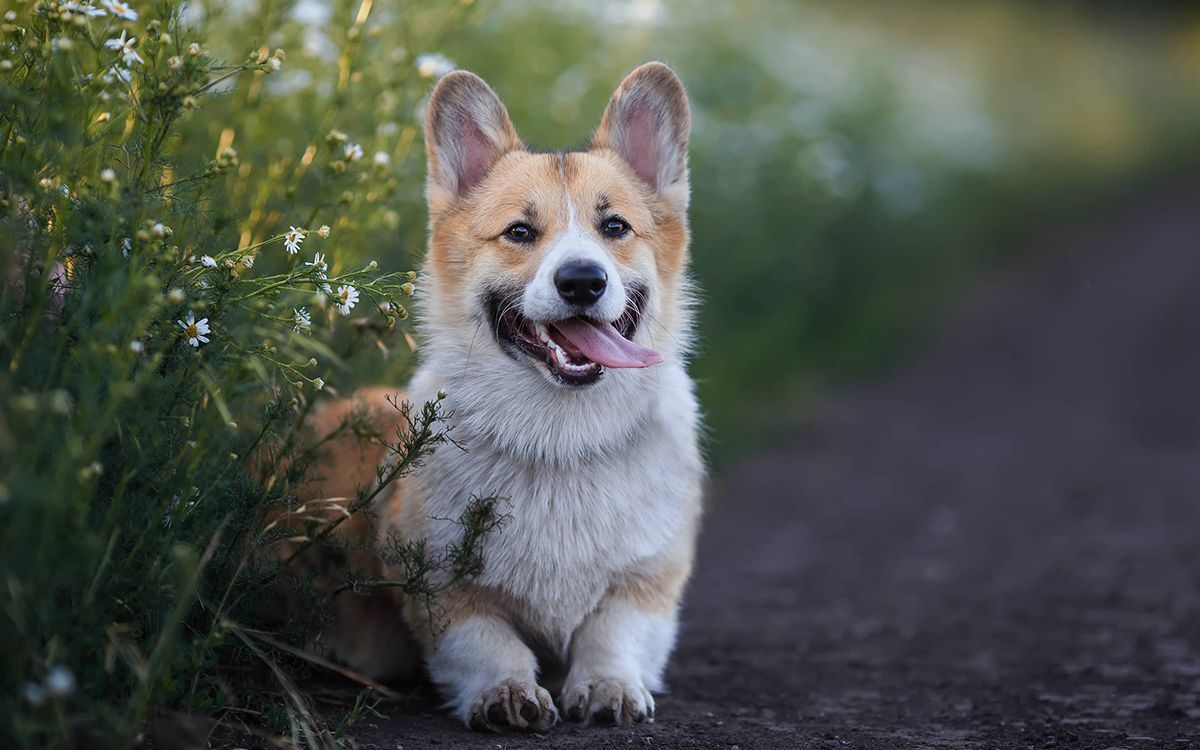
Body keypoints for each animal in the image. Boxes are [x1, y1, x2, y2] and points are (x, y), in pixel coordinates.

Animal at [291, 61, 700, 729]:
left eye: (615, 227)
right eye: (520, 232)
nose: (583, 281)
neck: (562, 438)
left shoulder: (647, 581)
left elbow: (612, 632)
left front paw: (608, 686)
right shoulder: (441, 586)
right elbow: (487, 641)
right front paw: (507, 692)